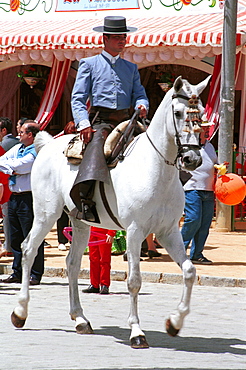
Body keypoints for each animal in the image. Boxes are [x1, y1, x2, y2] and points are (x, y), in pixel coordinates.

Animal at [11, 76, 210, 348]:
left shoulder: (169, 232)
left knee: (72, 263)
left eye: (201, 113)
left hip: (80, 223)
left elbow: (189, 272)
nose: (192, 159)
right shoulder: (135, 231)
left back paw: (80, 319)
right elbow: (134, 281)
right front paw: (137, 332)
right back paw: (20, 312)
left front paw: (174, 322)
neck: (156, 169)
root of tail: (49, 144)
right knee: (29, 249)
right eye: (178, 113)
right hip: (45, 214)